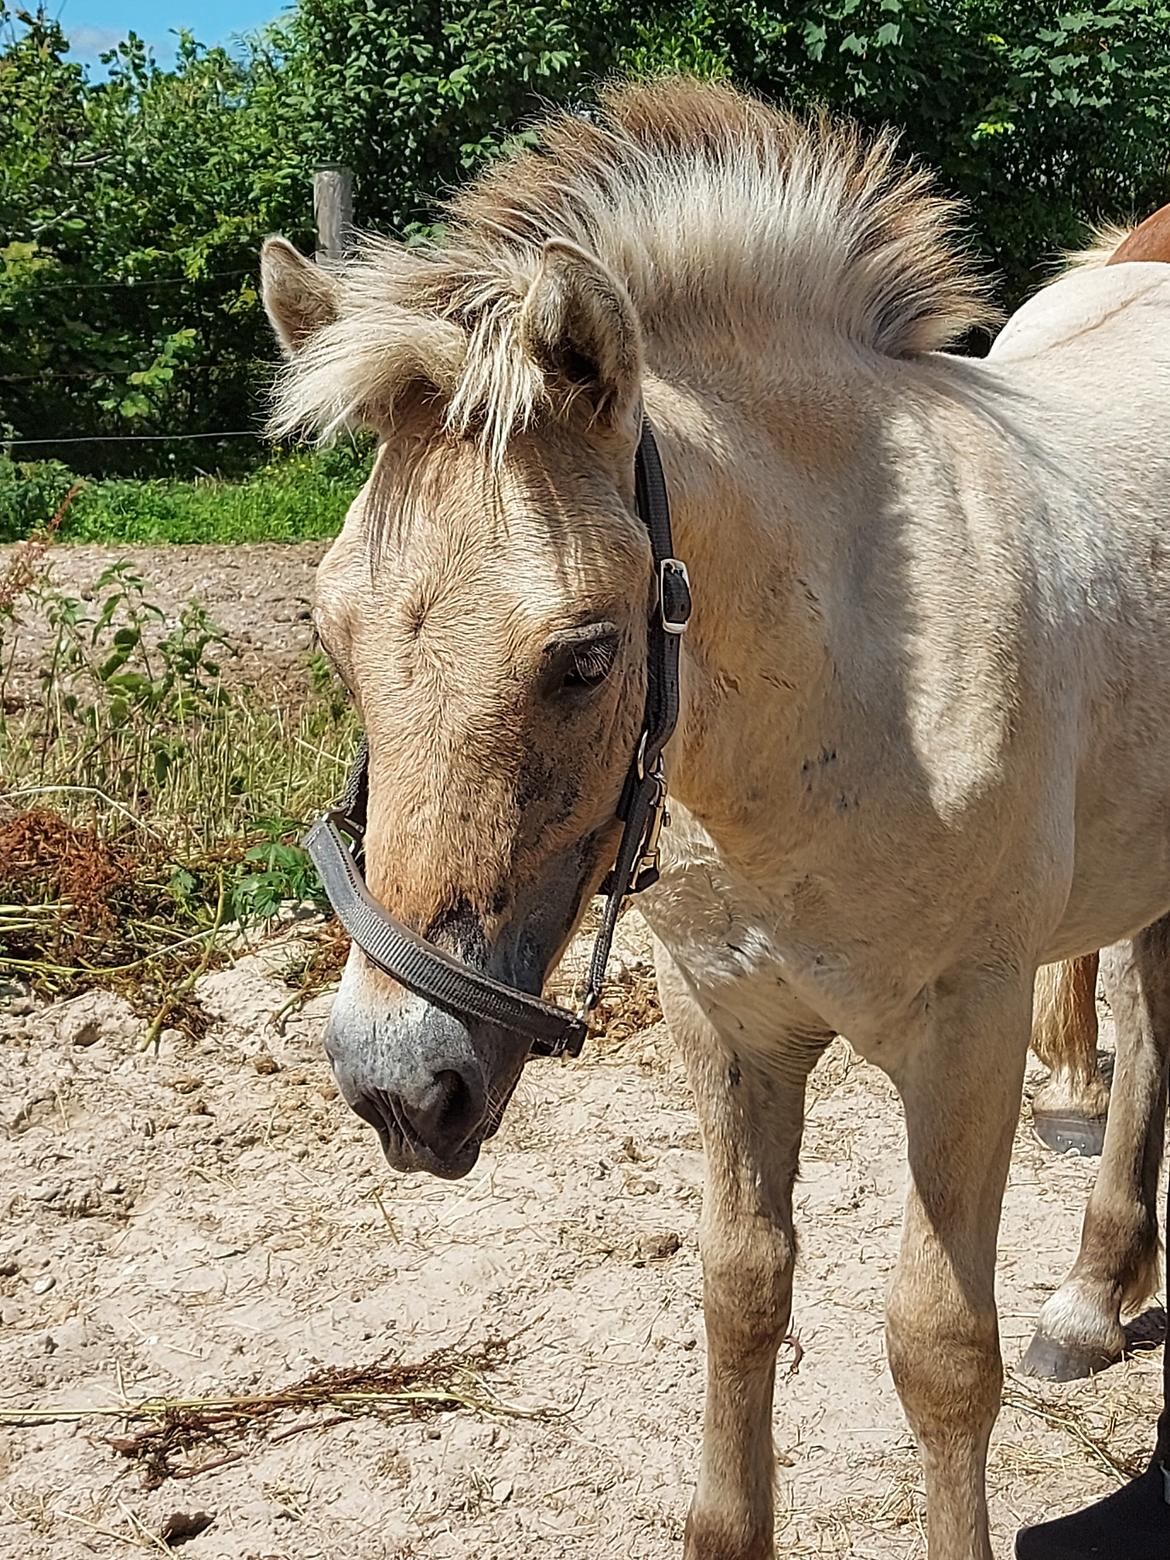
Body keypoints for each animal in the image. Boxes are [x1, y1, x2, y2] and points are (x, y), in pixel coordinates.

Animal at [258, 82, 1170, 1560]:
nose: (400, 1086)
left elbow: (938, 1351)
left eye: (583, 654)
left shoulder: (964, 1036)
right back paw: (1095, 1297)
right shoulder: (725, 1022)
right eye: (330, 635)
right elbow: (741, 1292)